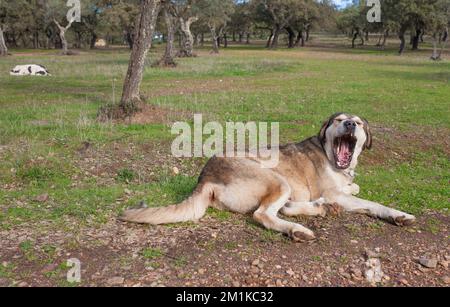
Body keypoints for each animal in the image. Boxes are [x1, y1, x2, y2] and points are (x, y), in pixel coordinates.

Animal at [119, 114, 414, 242]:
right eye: (338, 120)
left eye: (358, 123)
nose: (350, 124)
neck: (335, 159)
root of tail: (205, 177)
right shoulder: (333, 192)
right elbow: (371, 203)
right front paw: (398, 214)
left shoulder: (342, 187)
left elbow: (355, 187)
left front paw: (351, 187)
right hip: (277, 179)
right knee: (264, 214)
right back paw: (299, 230)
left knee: (284, 207)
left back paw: (318, 210)